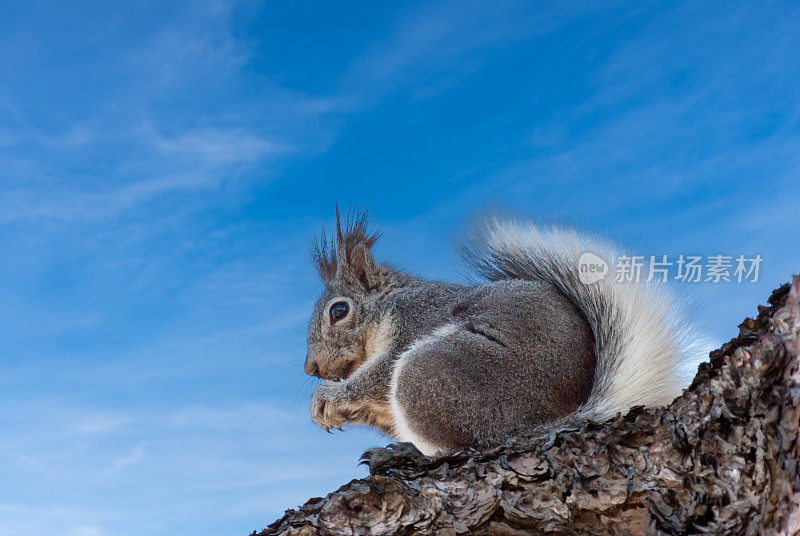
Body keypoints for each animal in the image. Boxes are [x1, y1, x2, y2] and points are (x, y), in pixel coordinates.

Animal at [304, 209, 692, 456]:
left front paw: (328, 398)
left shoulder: (415, 322)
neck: (389, 305)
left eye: (339, 311)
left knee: (472, 443)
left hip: (431, 375)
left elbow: (379, 376)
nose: (312, 368)